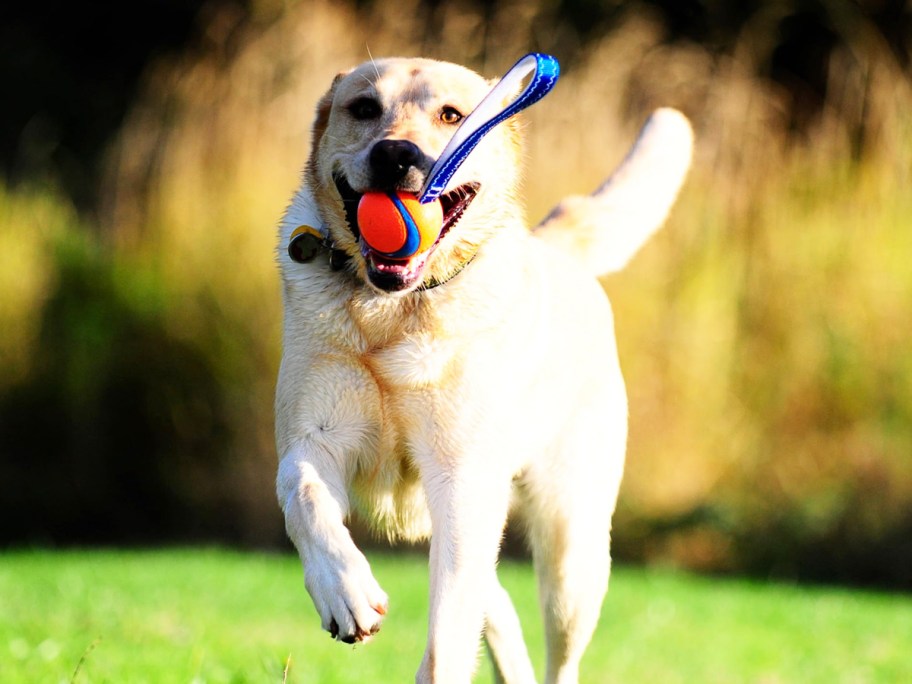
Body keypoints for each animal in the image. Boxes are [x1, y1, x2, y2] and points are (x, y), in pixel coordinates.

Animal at [274, 56, 696, 680]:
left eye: (452, 115)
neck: (394, 311)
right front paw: (345, 594)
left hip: (570, 551)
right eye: (364, 108)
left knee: (550, 645)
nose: (395, 154)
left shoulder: (462, 479)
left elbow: (448, 635)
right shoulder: (313, 439)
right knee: (494, 602)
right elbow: (302, 494)